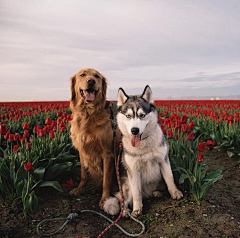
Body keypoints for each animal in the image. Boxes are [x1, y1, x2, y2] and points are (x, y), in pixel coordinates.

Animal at [69, 67, 115, 208]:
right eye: (83, 75)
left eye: (97, 76)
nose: (91, 81)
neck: (88, 113)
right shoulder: (81, 151)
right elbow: (83, 174)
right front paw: (80, 189)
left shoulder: (107, 154)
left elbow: (106, 180)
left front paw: (104, 199)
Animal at [102, 85, 182, 218]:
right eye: (128, 116)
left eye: (142, 115)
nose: (135, 130)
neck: (143, 146)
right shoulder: (133, 170)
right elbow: (136, 193)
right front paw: (137, 209)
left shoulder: (163, 160)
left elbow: (170, 179)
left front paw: (175, 193)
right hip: (126, 186)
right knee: (124, 200)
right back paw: (125, 211)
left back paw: (156, 193)